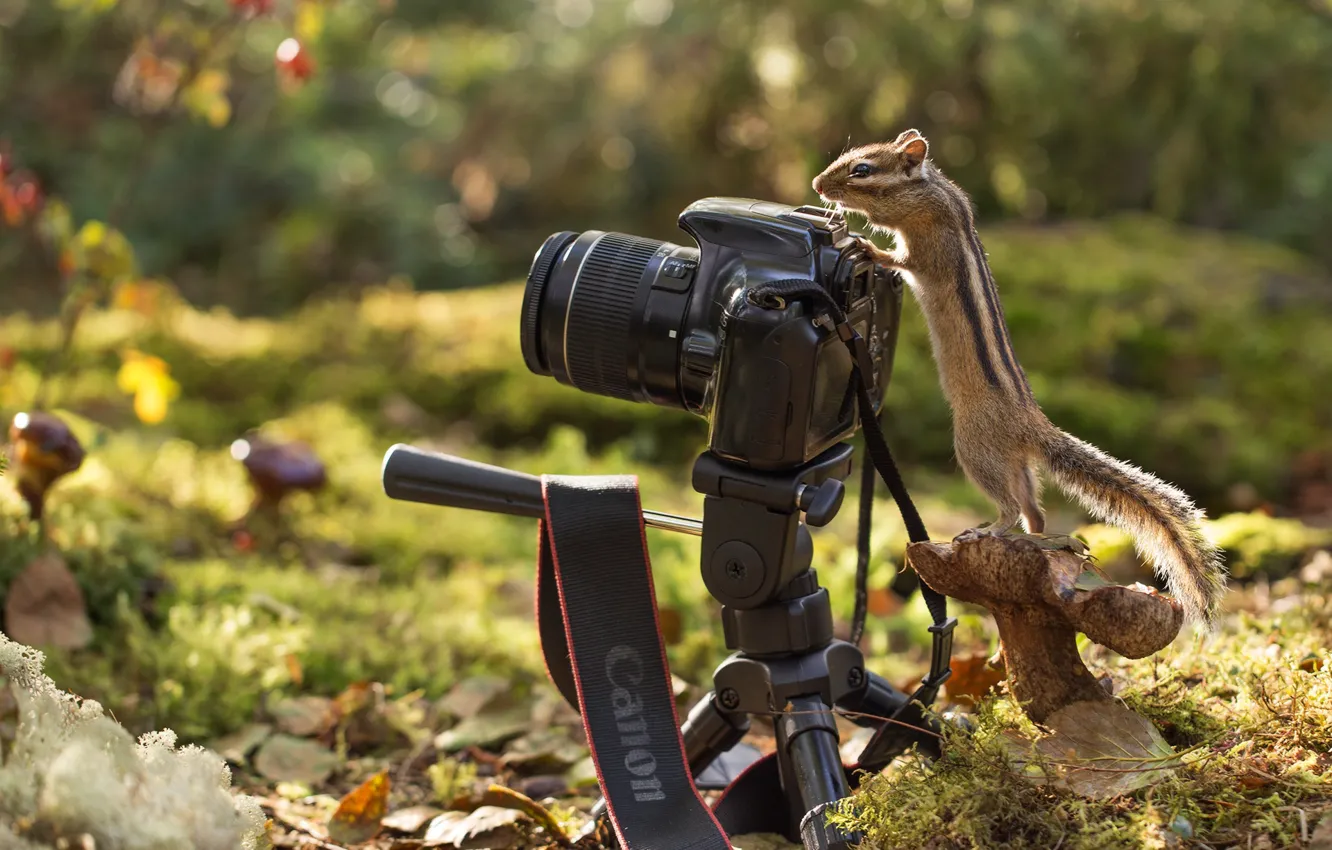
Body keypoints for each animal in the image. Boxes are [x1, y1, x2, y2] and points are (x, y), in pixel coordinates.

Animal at [812, 129, 1227, 629]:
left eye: (862, 170)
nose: (816, 185)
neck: (933, 195)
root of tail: (1033, 425)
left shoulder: (928, 250)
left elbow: (903, 262)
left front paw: (869, 250)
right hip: (1020, 469)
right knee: (1036, 512)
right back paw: (1038, 542)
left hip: (974, 448)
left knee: (1010, 508)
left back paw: (988, 531)